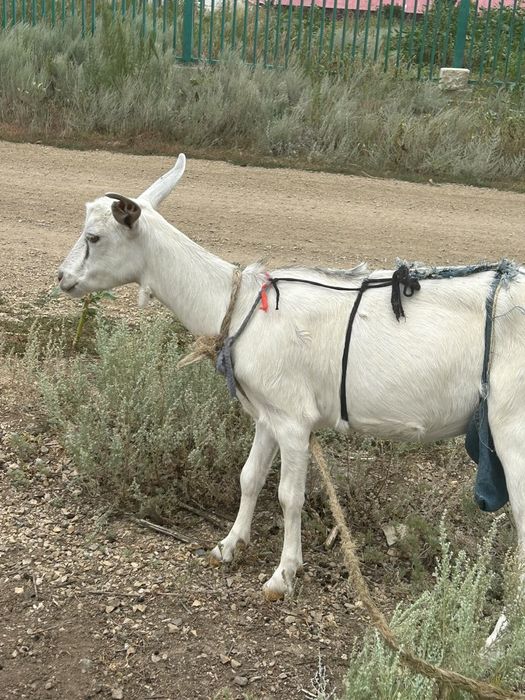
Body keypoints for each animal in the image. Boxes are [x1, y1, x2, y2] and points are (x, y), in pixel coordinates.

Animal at [58, 155, 525, 603]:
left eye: (94, 237)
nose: (62, 278)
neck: (239, 304)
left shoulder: (294, 420)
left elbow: (288, 496)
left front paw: (283, 575)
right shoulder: (268, 414)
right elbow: (249, 477)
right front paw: (228, 546)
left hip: (512, 430)